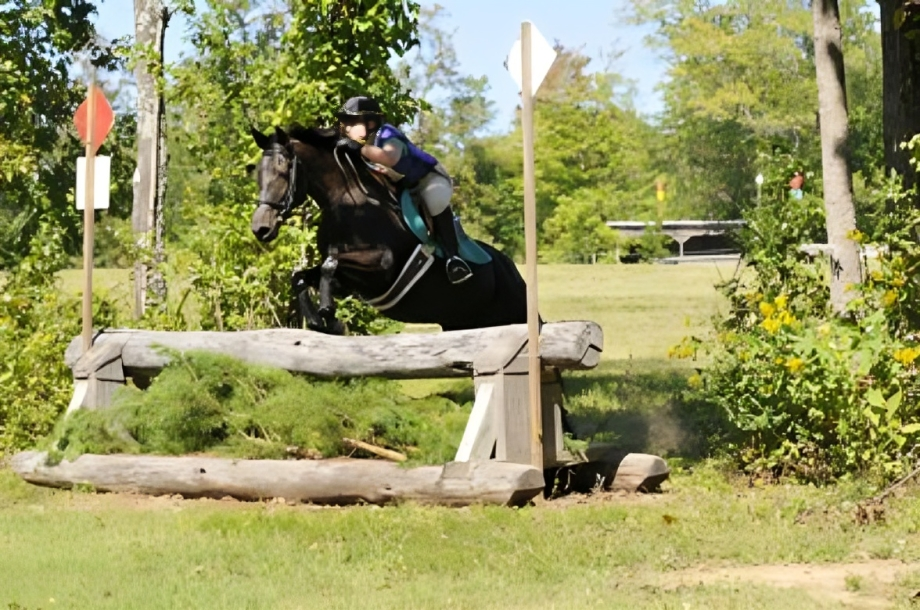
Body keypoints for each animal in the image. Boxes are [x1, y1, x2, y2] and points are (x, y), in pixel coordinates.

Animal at [249, 125, 529, 334]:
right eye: (257, 173)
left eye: (283, 169)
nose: (260, 227)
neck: (345, 203)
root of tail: (512, 269)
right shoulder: (350, 281)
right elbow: (301, 275)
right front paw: (319, 320)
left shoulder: (382, 266)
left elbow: (330, 264)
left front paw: (328, 313)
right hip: (460, 323)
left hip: (514, 312)